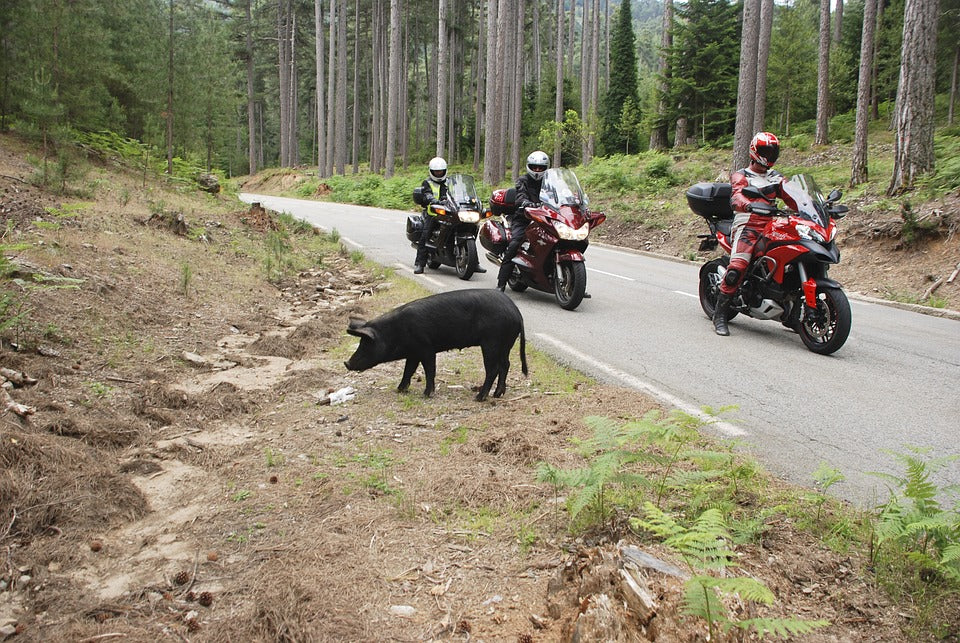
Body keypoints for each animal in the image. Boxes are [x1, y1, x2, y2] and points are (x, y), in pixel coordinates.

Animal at [344, 290, 528, 400]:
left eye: (366, 344)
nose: (346, 363)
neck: (394, 332)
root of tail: (517, 313)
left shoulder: (426, 348)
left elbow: (429, 370)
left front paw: (426, 394)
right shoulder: (413, 352)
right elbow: (408, 370)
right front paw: (399, 389)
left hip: (492, 342)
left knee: (493, 368)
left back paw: (479, 398)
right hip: (506, 343)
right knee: (505, 364)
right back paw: (497, 395)